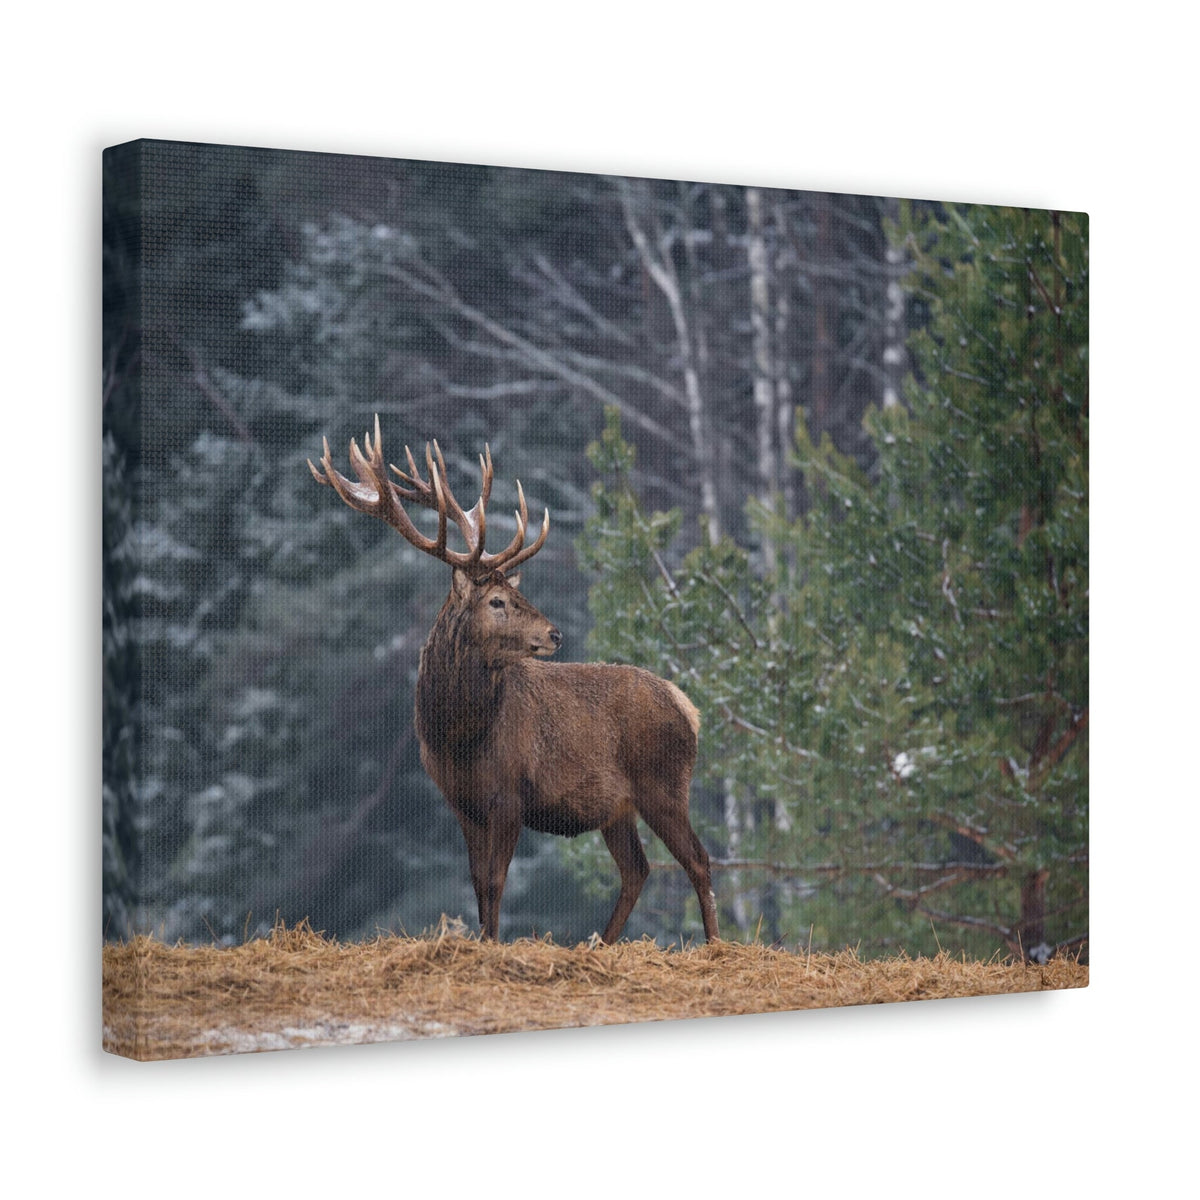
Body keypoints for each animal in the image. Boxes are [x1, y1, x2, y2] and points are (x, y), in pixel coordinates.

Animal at [309, 417, 719, 944]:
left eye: (510, 595)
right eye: (497, 601)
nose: (555, 633)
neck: (457, 738)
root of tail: (687, 705)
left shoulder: (509, 794)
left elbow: (496, 880)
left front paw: (492, 942)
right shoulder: (461, 803)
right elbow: (476, 880)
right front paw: (484, 939)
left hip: (664, 782)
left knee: (698, 858)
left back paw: (715, 945)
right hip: (618, 807)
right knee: (637, 869)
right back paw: (600, 943)